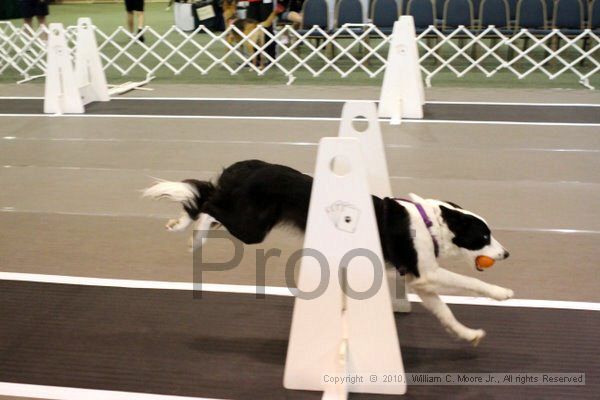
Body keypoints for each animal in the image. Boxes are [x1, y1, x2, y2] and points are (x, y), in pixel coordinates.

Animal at [143, 159, 512, 344]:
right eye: (483, 236)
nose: (507, 254)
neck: (428, 223)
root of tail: (245, 166)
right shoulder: (427, 272)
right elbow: (472, 283)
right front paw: (502, 293)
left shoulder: (420, 280)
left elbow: (445, 312)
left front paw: (469, 334)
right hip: (252, 228)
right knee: (205, 199)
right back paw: (184, 222)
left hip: (251, 221)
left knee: (209, 200)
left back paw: (189, 232)